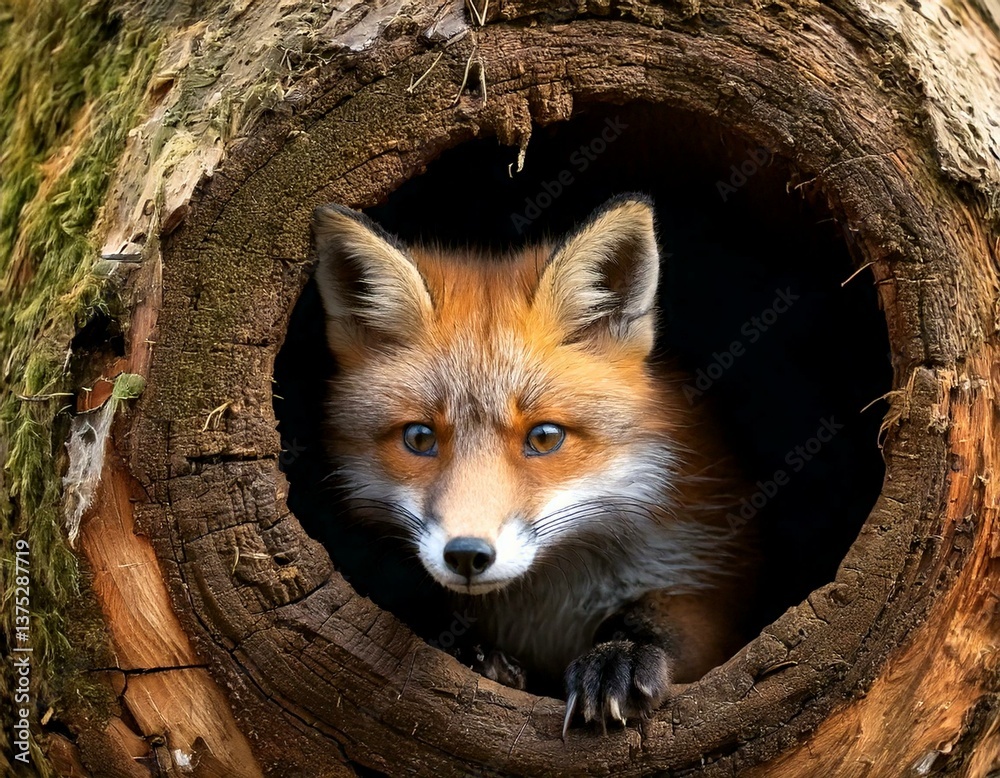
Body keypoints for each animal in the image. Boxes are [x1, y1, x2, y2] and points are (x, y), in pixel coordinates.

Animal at [312, 194, 752, 735]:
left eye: (544, 437)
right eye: (419, 438)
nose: (467, 555)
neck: (545, 605)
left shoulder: (705, 572)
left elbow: (656, 619)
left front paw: (619, 656)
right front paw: (474, 654)